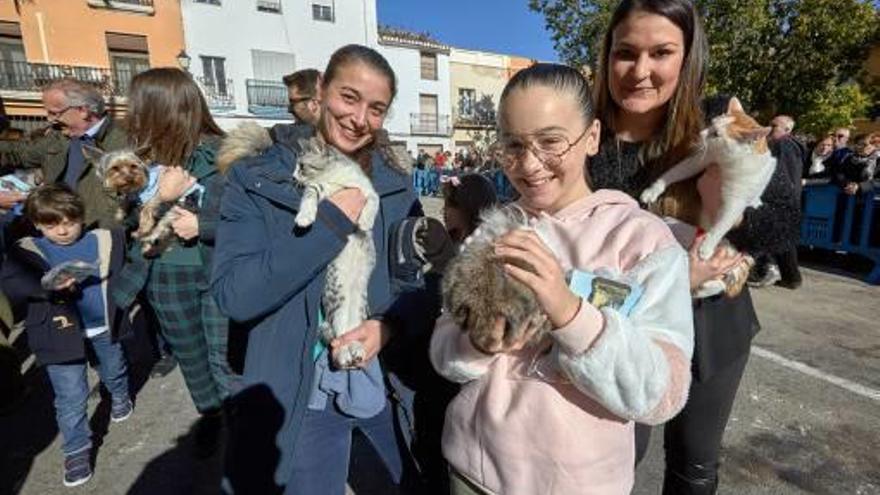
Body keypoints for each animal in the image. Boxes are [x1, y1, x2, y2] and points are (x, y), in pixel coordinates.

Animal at [296, 138, 378, 370]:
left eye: (302, 166)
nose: (293, 177)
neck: (336, 177)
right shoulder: (320, 189)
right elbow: (309, 195)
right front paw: (303, 217)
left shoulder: (364, 186)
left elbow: (373, 199)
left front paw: (366, 221)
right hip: (337, 297)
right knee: (338, 335)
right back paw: (344, 354)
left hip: (359, 306)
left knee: (351, 332)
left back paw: (356, 350)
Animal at [640, 99, 776, 296]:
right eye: (711, 123)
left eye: (716, 134)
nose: (701, 134)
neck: (727, 162)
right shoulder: (700, 160)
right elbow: (672, 173)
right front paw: (652, 190)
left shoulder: (736, 202)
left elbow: (722, 224)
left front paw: (707, 245)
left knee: (725, 282)